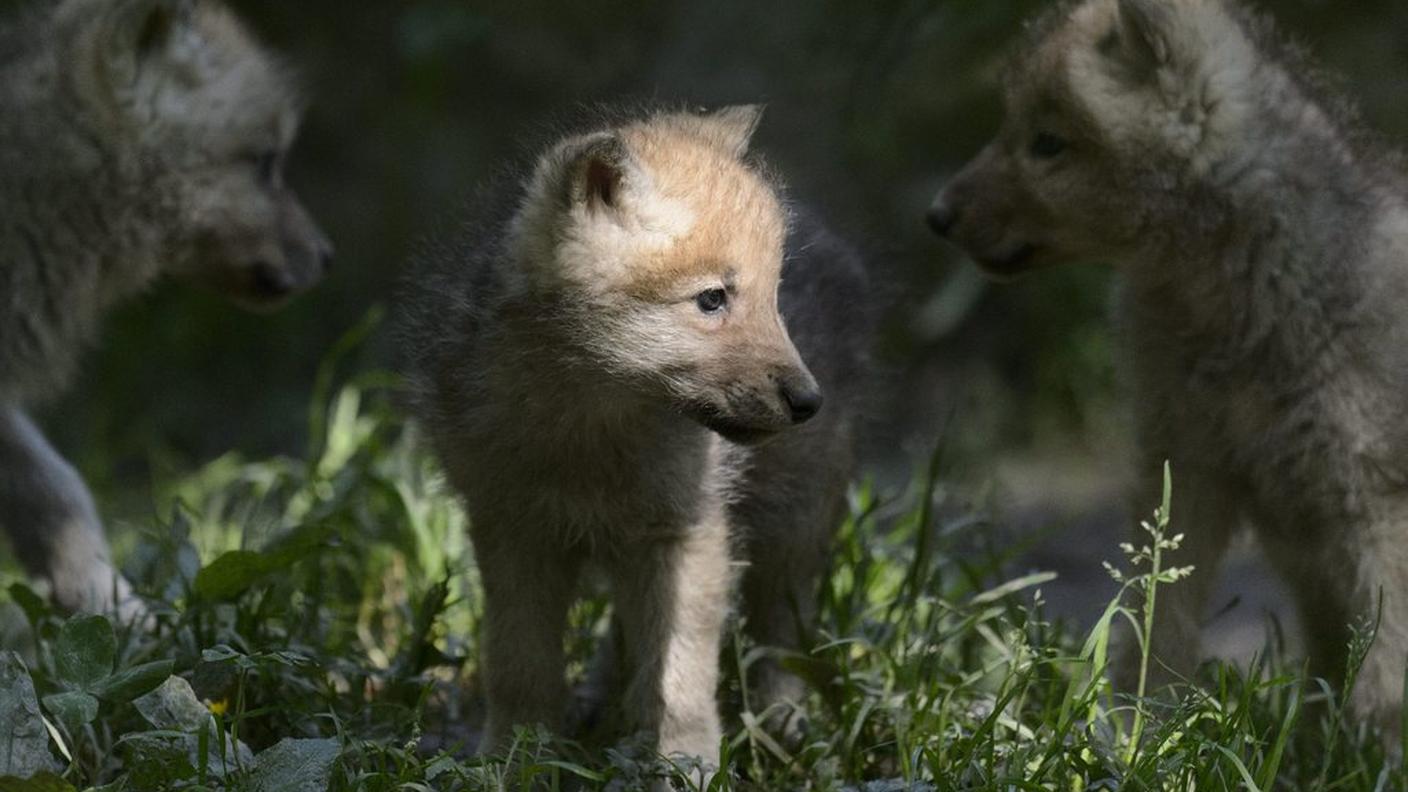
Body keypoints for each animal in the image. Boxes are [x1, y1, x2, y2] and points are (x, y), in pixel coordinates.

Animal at [402, 105, 872, 768]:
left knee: (784, 630)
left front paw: (685, 764)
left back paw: (781, 727)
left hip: (795, 527)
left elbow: (679, 678)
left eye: (774, 297)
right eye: (712, 299)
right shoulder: (512, 531)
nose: (809, 401)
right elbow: (518, 665)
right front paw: (513, 757)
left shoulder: (687, 533)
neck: (588, 429)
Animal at [929, 0, 1408, 741]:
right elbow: (1155, 627)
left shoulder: (1371, 503)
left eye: (1048, 143)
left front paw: (1370, 754)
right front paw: (1139, 733)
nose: (938, 215)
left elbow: (1385, 676)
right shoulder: (1183, 468)